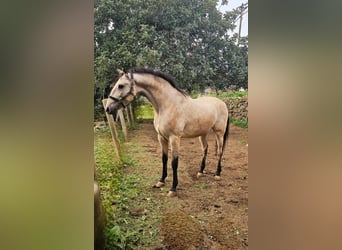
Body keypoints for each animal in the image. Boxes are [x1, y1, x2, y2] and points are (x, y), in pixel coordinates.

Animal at [106, 67, 230, 196]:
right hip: (203, 133)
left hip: (219, 133)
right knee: (205, 149)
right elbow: (164, 159)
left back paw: (217, 174)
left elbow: (174, 163)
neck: (167, 105)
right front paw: (161, 181)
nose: (108, 108)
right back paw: (200, 171)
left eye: (120, 86)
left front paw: (173, 188)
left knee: (220, 151)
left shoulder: (174, 138)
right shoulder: (161, 137)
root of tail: (222, 103)